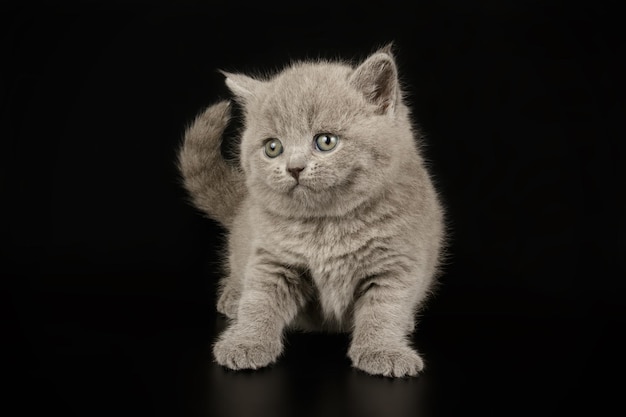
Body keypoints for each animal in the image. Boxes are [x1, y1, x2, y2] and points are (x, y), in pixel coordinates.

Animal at [178, 46, 446, 376]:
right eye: (272, 147)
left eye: (326, 141)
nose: (294, 168)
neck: (326, 224)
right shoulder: (273, 258)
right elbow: (259, 300)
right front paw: (246, 342)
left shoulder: (396, 262)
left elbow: (385, 309)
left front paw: (383, 351)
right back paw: (232, 297)